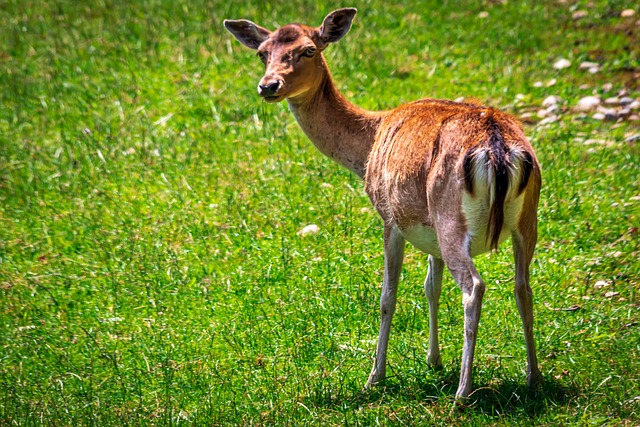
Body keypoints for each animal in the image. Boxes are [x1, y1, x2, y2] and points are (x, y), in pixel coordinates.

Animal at [222, 7, 544, 402]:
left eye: (308, 50)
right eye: (262, 53)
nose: (268, 86)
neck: (367, 147)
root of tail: (498, 148)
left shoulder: (391, 217)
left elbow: (387, 296)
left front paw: (375, 376)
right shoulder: (427, 230)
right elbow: (431, 287)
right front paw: (433, 360)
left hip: (451, 217)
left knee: (474, 288)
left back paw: (462, 393)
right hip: (525, 219)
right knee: (523, 287)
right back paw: (534, 378)